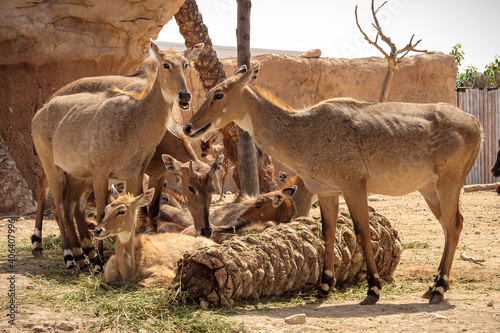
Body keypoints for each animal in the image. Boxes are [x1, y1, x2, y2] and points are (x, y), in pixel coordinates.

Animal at [32, 41, 203, 270]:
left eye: (186, 64)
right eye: (165, 64)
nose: (184, 95)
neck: (135, 119)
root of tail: (40, 111)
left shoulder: (136, 175)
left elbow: (137, 210)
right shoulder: (101, 172)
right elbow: (102, 210)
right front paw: (99, 261)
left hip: (76, 175)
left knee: (68, 208)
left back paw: (81, 257)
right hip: (53, 168)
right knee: (58, 206)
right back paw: (66, 255)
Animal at [182, 63, 482, 304]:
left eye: (218, 94)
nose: (189, 127)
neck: (303, 130)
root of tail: (475, 123)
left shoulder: (354, 185)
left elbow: (362, 231)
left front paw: (373, 289)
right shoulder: (326, 191)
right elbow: (326, 232)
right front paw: (325, 285)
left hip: (448, 182)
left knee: (454, 224)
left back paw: (439, 289)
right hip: (429, 188)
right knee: (449, 225)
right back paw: (434, 285)